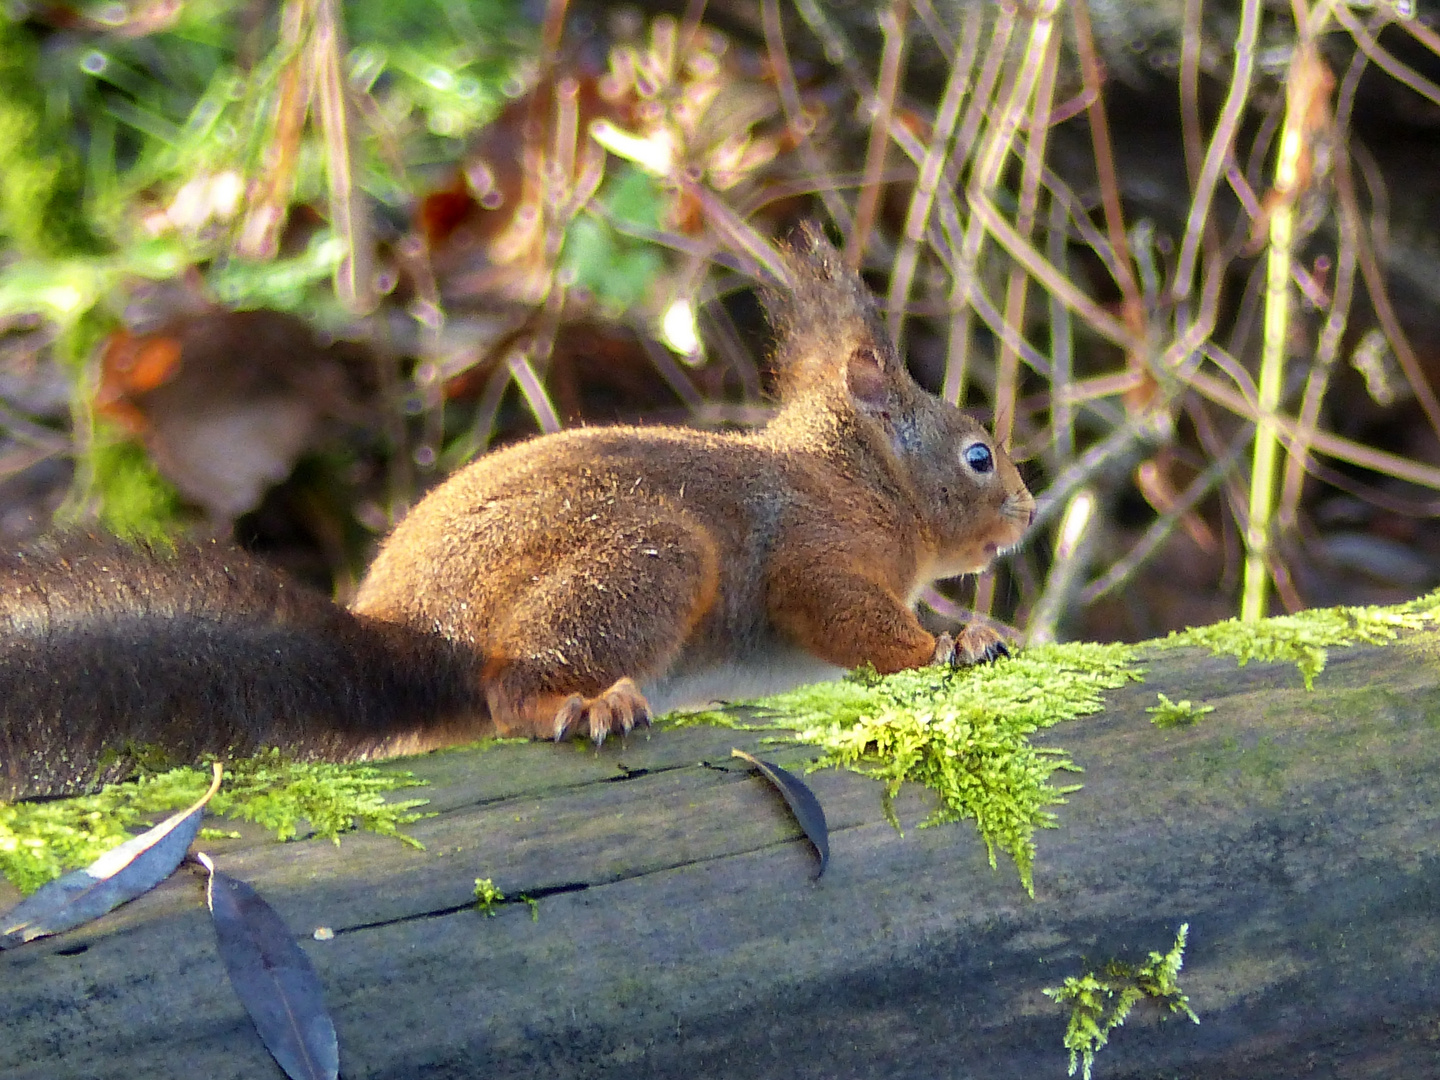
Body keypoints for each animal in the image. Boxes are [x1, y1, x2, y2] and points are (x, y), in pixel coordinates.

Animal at [0, 226, 1036, 806]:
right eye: (979, 455)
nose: (1027, 513)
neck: (859, 481)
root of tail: (413, 640)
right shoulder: (812, 549)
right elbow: (854, 621)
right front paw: (953, 644)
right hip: (650, 558)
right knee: (509, 689)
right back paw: (581, 704)